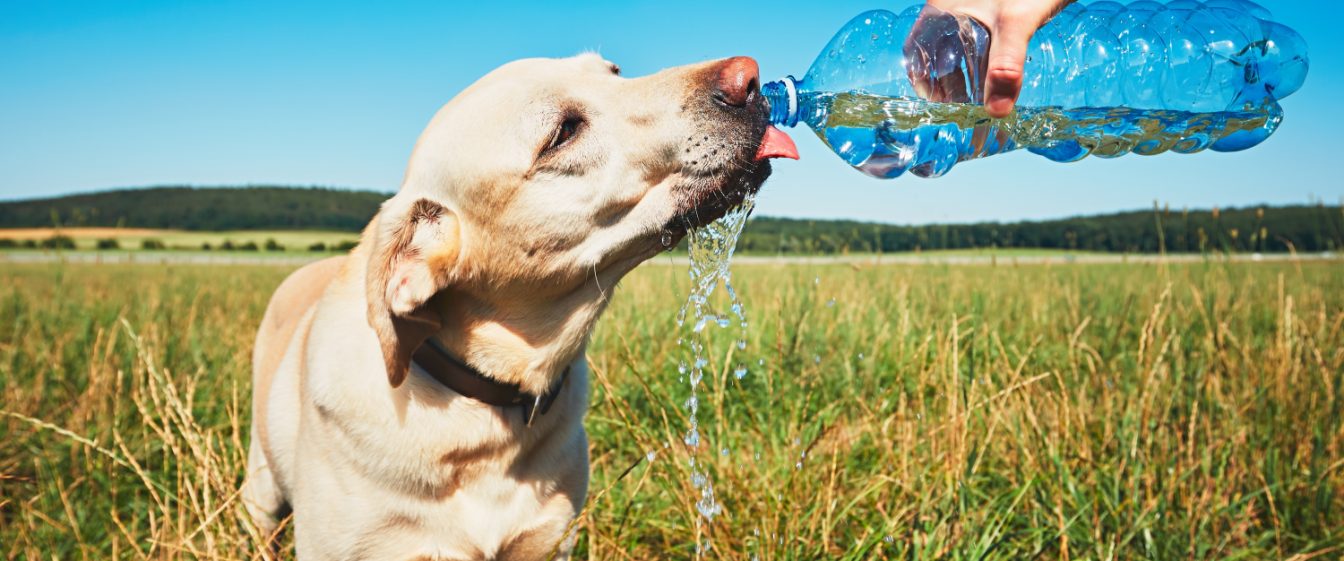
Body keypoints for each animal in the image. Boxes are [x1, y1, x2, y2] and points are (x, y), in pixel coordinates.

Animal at [241, 51, 795, 554]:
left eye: (614, 72)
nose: (750, 77)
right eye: (563, 133)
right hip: (260, 487)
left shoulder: (549, 541)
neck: (487, 414)